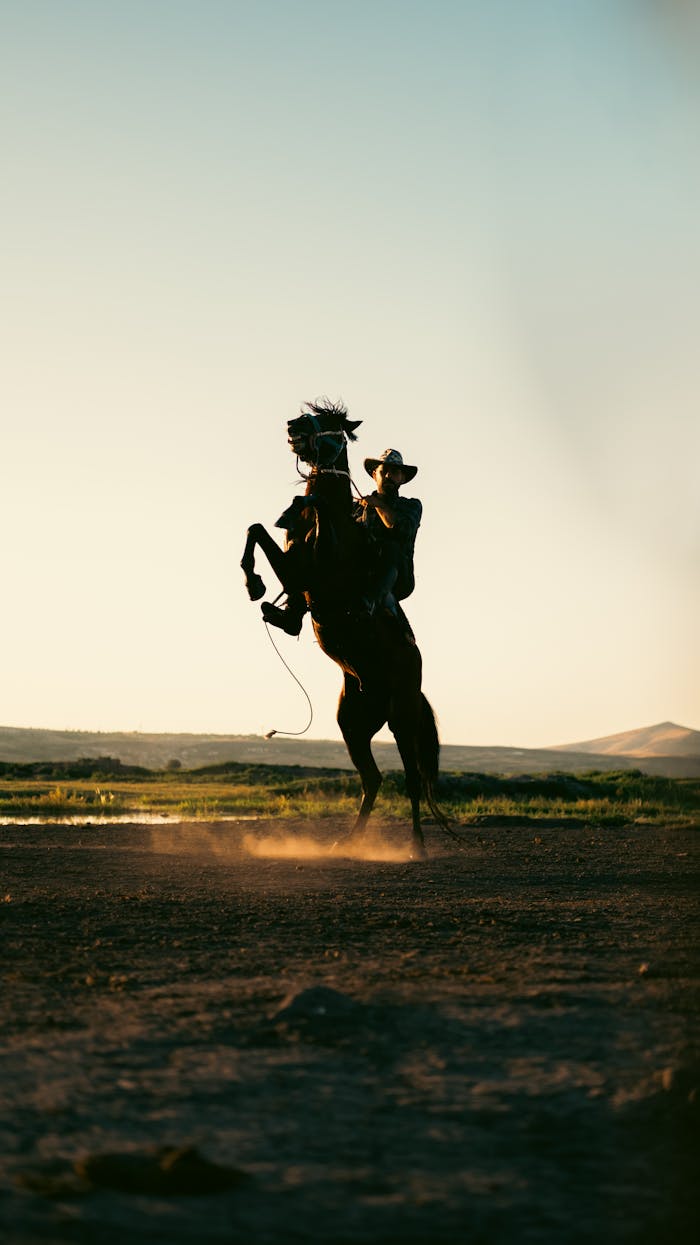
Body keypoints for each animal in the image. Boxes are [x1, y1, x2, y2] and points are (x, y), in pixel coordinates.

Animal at [241, 399, 447, 858]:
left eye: (331, 424)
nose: (293, 425)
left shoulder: (312, 573)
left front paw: (256, 582)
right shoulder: (295, 573)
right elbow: (256, 529)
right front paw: (255, 584)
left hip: (402, 720)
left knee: (410, 780)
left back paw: (417, 846)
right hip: (352, 726)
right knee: (372, 779)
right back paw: (348, 841)